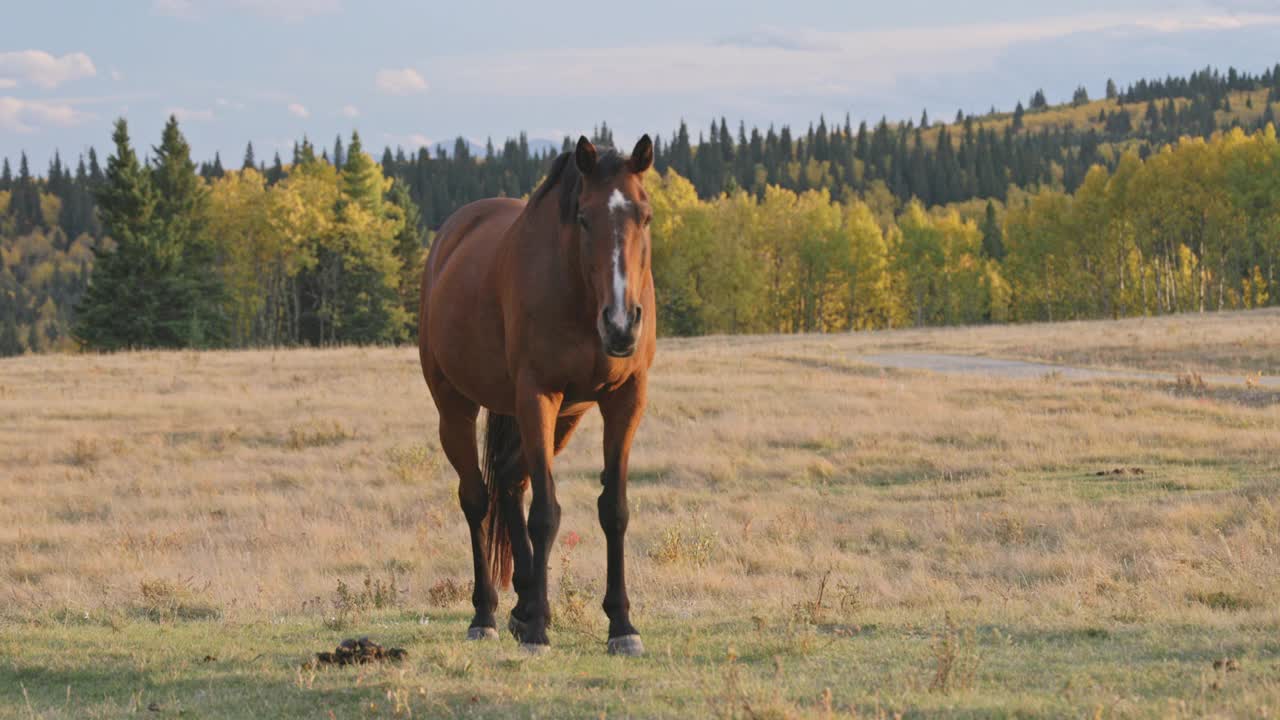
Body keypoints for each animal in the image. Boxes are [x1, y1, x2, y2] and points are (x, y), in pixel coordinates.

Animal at [422, 131, 660, 653]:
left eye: (645, 215)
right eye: (584, 217)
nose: (620, 324)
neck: (580, 293)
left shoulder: (625, 399)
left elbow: (614, 509)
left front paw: (622, 625)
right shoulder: (537, 396)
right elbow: (546, 513)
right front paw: (537, 632)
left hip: (566, 416)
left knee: (510, 481)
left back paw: (524, 603)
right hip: (455, 408)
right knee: (478, 499)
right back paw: (488, 614)